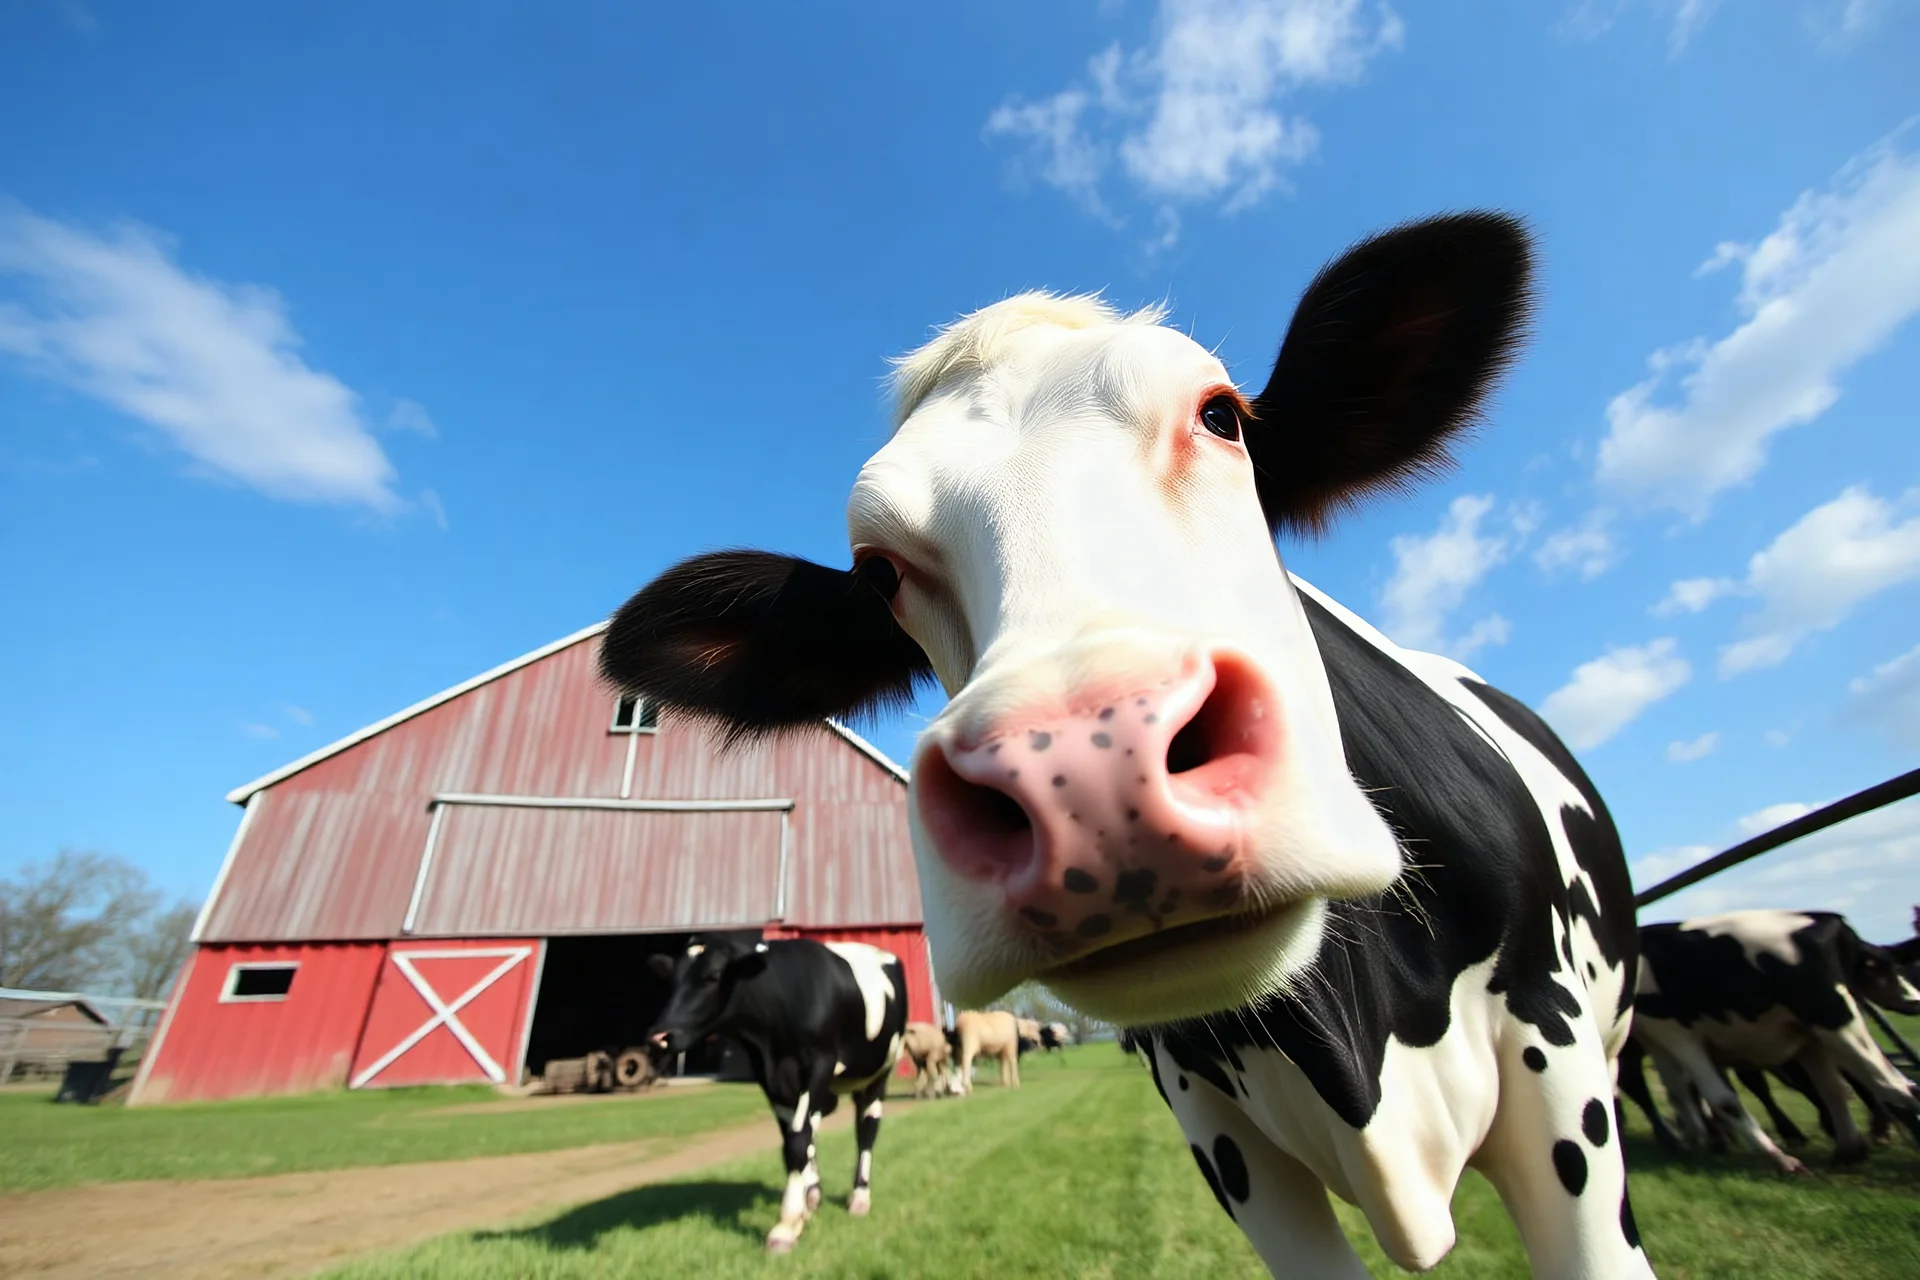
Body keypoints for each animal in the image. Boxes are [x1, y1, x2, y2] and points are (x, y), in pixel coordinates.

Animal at [645, 936, 906, 1258]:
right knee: (814, 1127)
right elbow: (793, 1139)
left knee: (865, 1130)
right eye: (672, 980)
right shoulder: (770, 1077)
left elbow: (797, 1142)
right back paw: (813, 1193)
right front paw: (802, 1207)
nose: (658, 1037)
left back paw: (859, 1197)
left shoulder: (819, 1064)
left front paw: (785, 1227)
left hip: (878, 1074)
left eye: (713, 976)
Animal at [1620, 909, 1920, 1174]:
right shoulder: (1658, 1040)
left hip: (1835, 1024)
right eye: (1886, 970)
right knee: (1836, 1089)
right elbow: (1679, 1092)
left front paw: (1778, 1158)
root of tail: (1830, 921)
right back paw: (1848, 1150)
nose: (1914, 1000)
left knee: (1895, 1086)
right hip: (1814, 1037)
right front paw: (1693, 1142)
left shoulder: (1678, 1034)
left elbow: (1721, 1099)